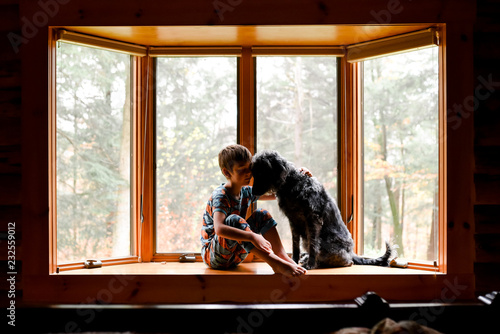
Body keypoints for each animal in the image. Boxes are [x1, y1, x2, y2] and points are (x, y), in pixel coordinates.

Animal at [252, 150, 392, 270]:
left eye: (261, 172)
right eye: (254, 172)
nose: (253, 192)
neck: (292, 184)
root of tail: (351, 253)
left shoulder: (313, 219)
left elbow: (314, 245)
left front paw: (310, 264)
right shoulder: (293, 221)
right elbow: (295, 245)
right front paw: (294, 261)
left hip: (328, 242)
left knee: (346, 261)